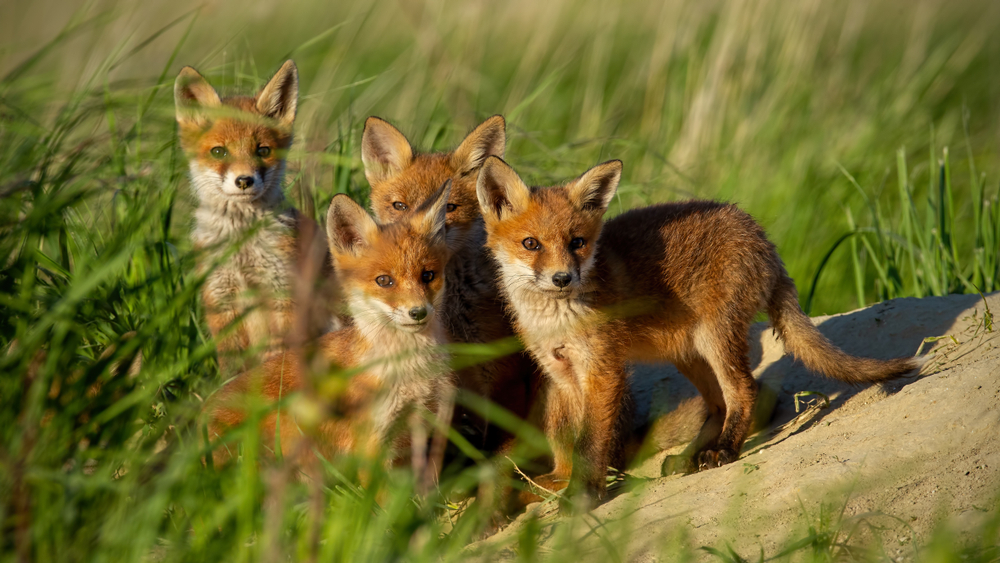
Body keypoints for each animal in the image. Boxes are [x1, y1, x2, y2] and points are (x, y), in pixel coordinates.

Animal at [174, 60, 341, 372]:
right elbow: (231, 368)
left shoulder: (284, 294)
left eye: (262, 150)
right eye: (219, 151)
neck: (243, 244)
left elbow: (278, 357)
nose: (244, 180)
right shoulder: (220, 299)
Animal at [207, 183, 454, 477]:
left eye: (428, 275)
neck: (410, 373)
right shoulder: (371, 442)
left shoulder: (429, 427)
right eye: (384, 281)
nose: (418, 313)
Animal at [475, 156, 919, 507]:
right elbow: (564, 438)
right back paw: (690, 456)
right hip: (687, 353)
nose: (563, 278)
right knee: (718, 404)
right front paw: (560, 482)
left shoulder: (603, 370)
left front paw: (583, 494)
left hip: (715, 338)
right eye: (531, 244)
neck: (556, 319)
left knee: (743, 391)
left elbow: (591, 441)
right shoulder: (561, 374)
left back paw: (724, 450)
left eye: (577, 242)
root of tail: (761, 236)